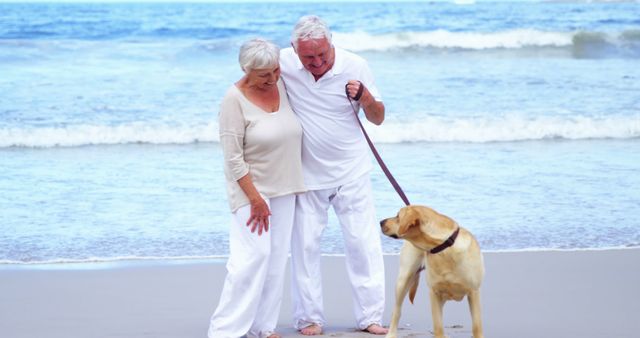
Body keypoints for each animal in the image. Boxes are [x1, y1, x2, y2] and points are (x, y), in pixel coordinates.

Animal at [380, 205, 484, 336]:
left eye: (398, 216)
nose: (380, 222)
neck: (443, 248)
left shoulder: (473, 292)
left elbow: (476, 326)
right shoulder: (434, 293)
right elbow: (438, 327)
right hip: (403, 280)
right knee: (396, 310)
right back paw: (391, 334)